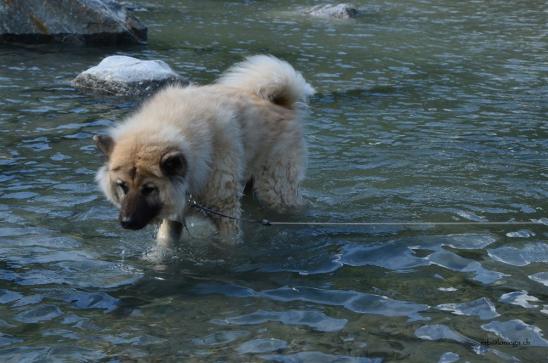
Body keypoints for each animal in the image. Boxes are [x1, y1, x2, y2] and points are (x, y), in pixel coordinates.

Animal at [93, 56, 314, 250]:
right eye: (122, 186)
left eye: (148, 189)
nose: (126, 222)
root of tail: (282, 104)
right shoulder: (175, 215)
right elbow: (164, 246)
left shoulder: (225, 213)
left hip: (276, 189)